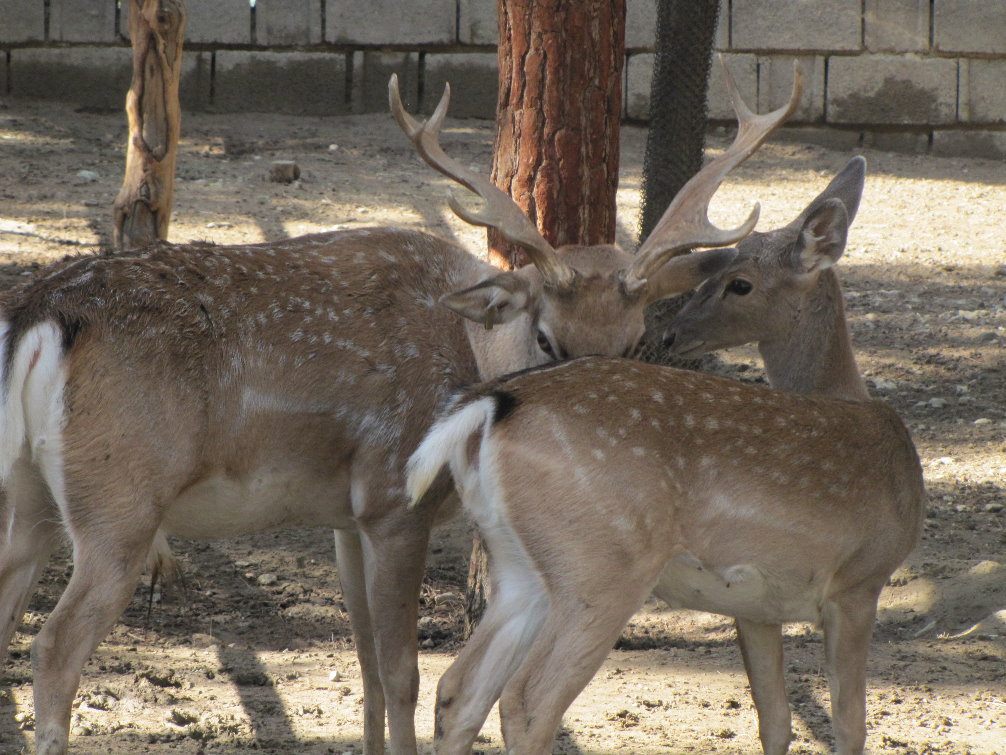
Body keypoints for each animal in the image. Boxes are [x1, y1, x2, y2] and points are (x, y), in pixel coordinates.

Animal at [0, 64, 800, 755]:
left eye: (634, 343)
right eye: (547, 336)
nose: (585, 414)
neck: (468, 346)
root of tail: (42, 311)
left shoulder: (345, 515)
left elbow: (367, 670)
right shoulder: (393, 498)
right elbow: (403, 674)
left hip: (31, 493)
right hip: (119, 498)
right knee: (54, 647)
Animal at [406, 156, 926, 754]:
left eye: (739, 283)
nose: (673, 334)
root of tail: (492, 402)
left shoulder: (758, 605)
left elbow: (776, 718)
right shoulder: (860, 579)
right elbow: (850, 723)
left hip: (518, 563)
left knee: (457, 688)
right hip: (603, 565)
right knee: (526, 699)